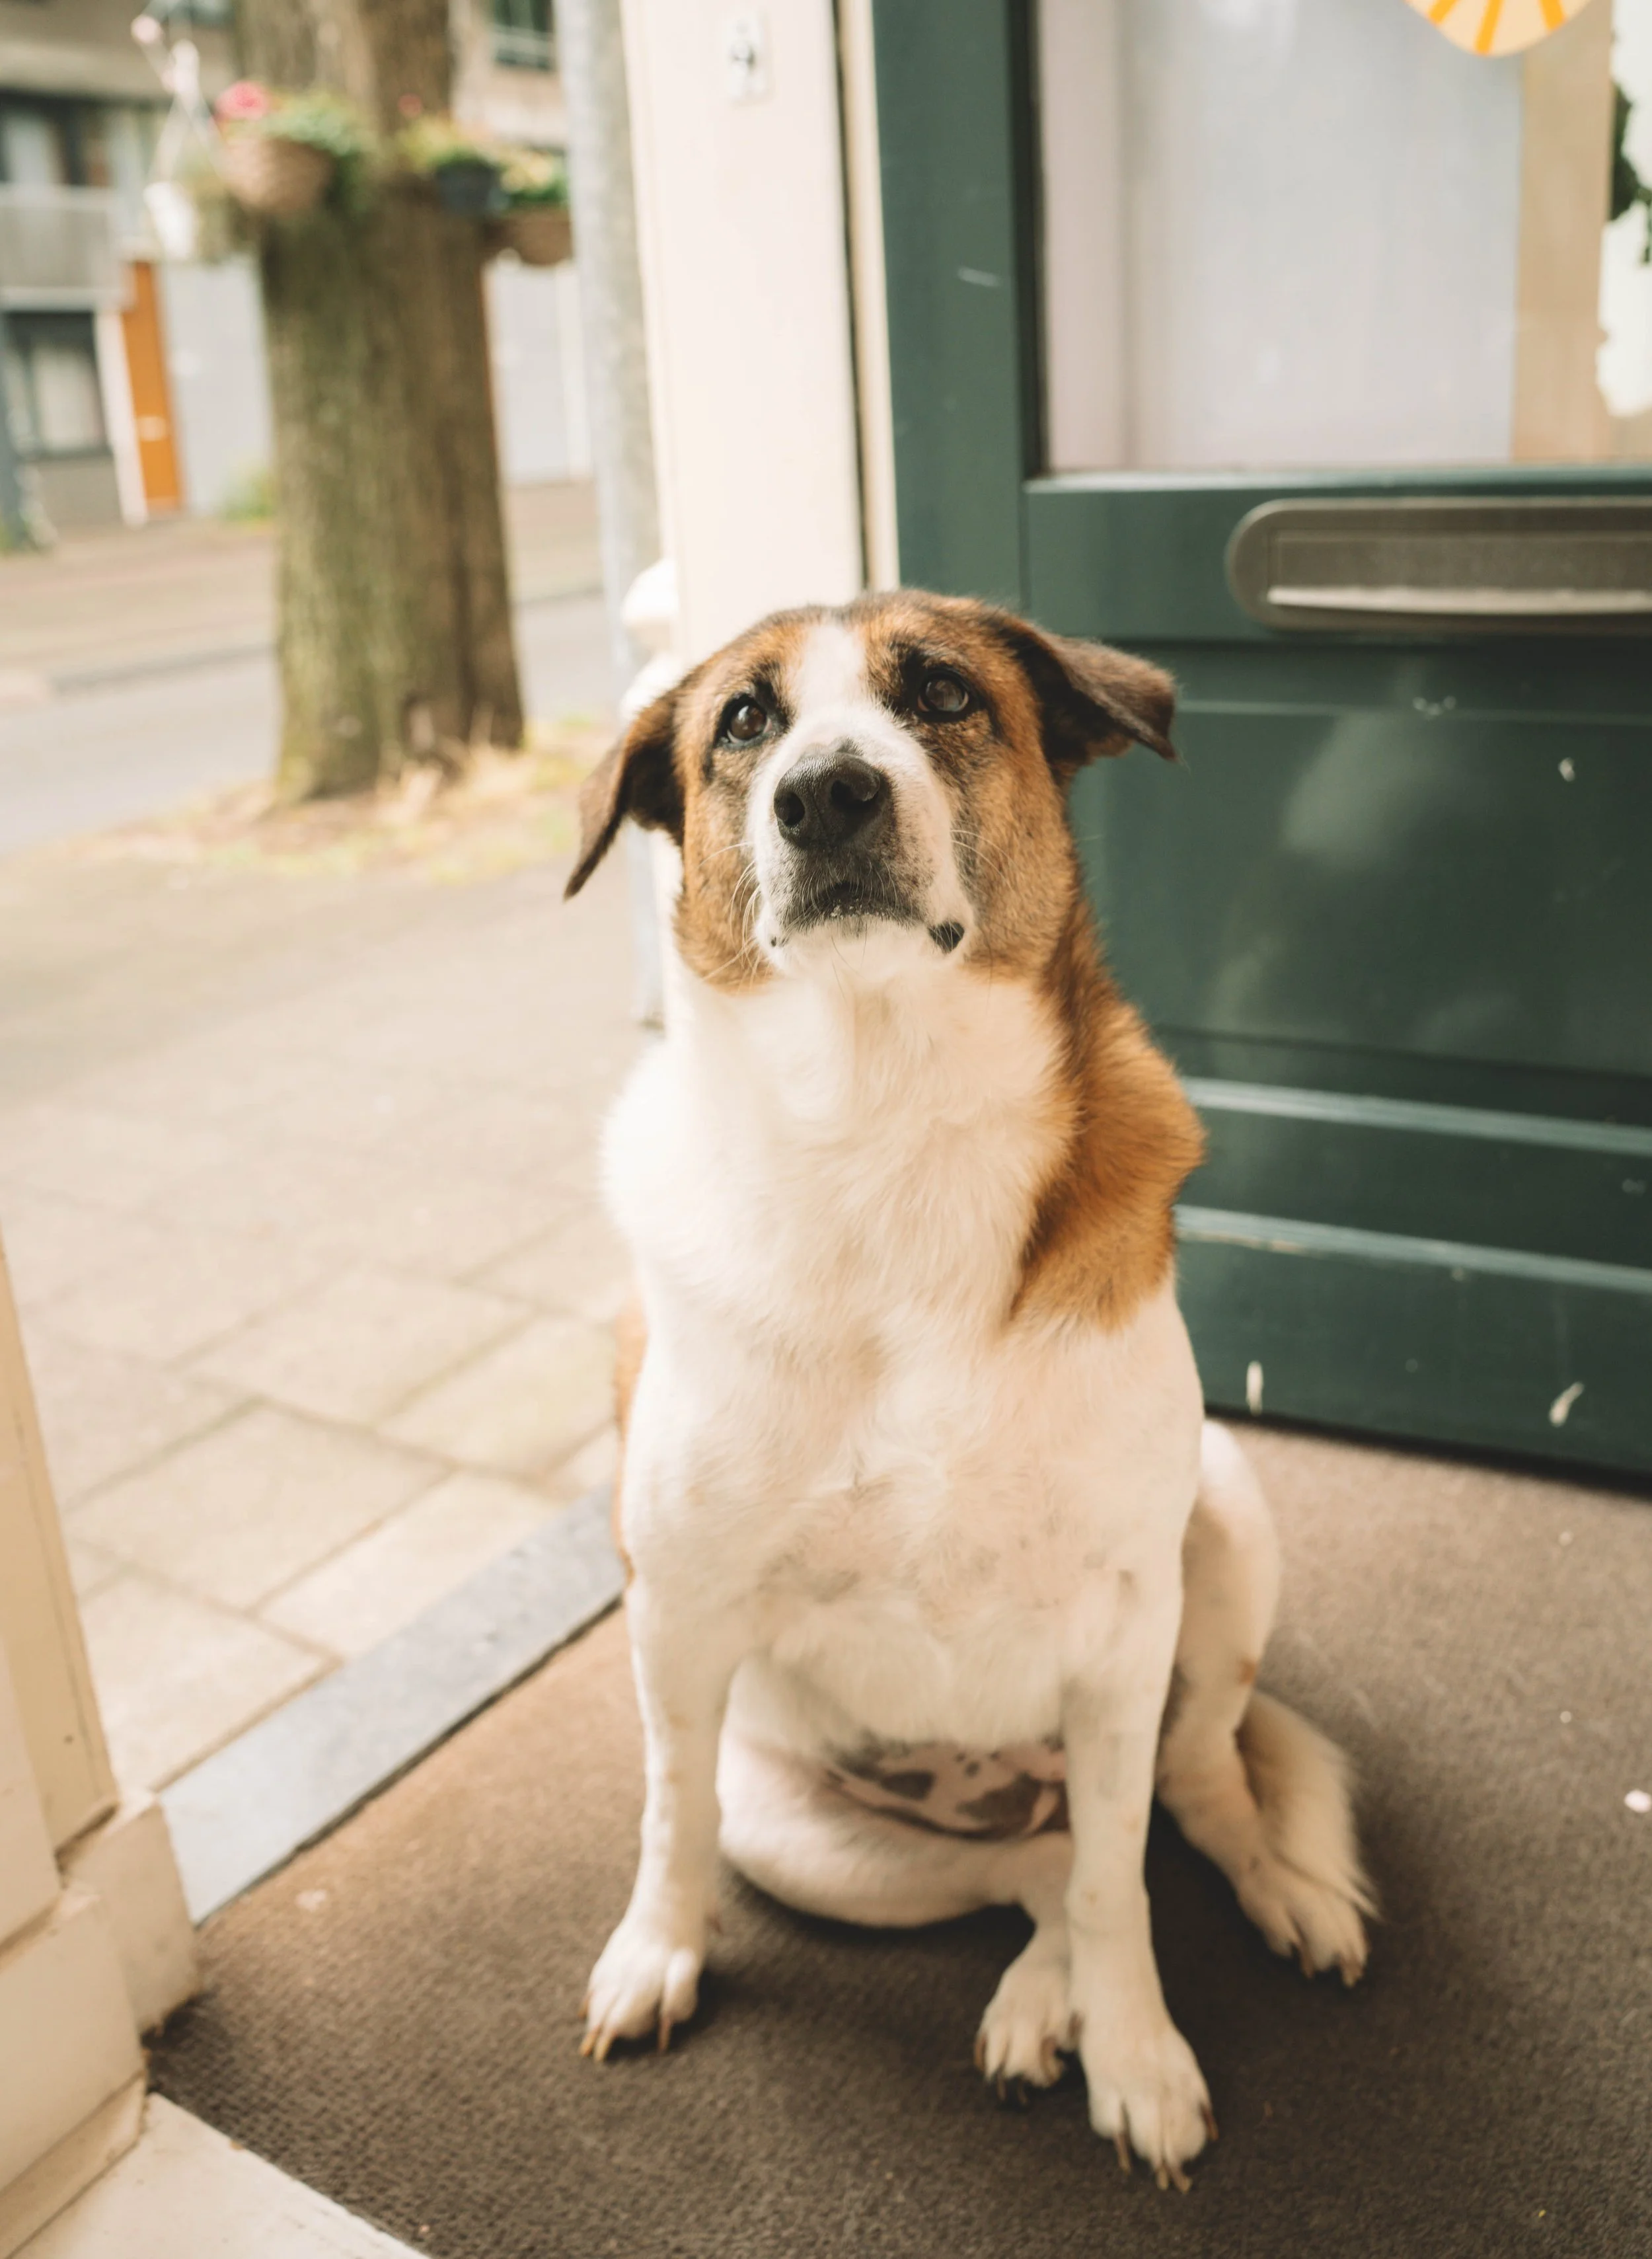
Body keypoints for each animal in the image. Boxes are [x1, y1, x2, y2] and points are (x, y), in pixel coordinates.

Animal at [565, 591, 1374, 2186]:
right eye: (742, 722)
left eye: (941, 692)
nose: (826, 793)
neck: (888, 1133)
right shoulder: (675, 1617)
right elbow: (666, 1814)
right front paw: (653, 1952)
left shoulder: (1124, 1634)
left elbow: (1129, 1885)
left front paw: (1138, 2054)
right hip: (802, 1831)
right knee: (1032, 1863)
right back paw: (1028, 2001)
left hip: (1222, 1533)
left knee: (1184, 1796)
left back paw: (1279, 1896)